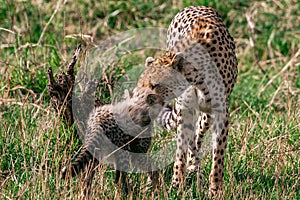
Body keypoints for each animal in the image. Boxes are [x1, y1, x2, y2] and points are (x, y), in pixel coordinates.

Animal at [137, 6, 238, 195]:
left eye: (154, 85)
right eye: (142, 84)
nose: (141, 101)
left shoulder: (221, 112)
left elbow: (218, 153)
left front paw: (215, 189)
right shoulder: (185, 109)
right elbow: (180, 149)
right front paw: (177, 185)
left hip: (207, 114)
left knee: (198, 132)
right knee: (192, 138)